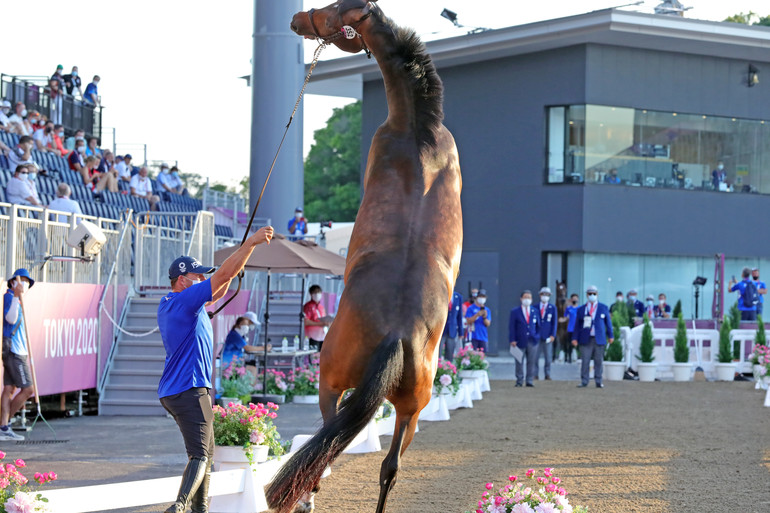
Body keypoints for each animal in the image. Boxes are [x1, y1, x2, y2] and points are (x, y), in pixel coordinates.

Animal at [268, 1, 462, 512]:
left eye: (333, 9)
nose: (297, 19)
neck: (419, 131)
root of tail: (396, 333)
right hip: (411, 411)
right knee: (389, 469)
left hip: (330, 378)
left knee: (324, 446)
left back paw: (307, 496)